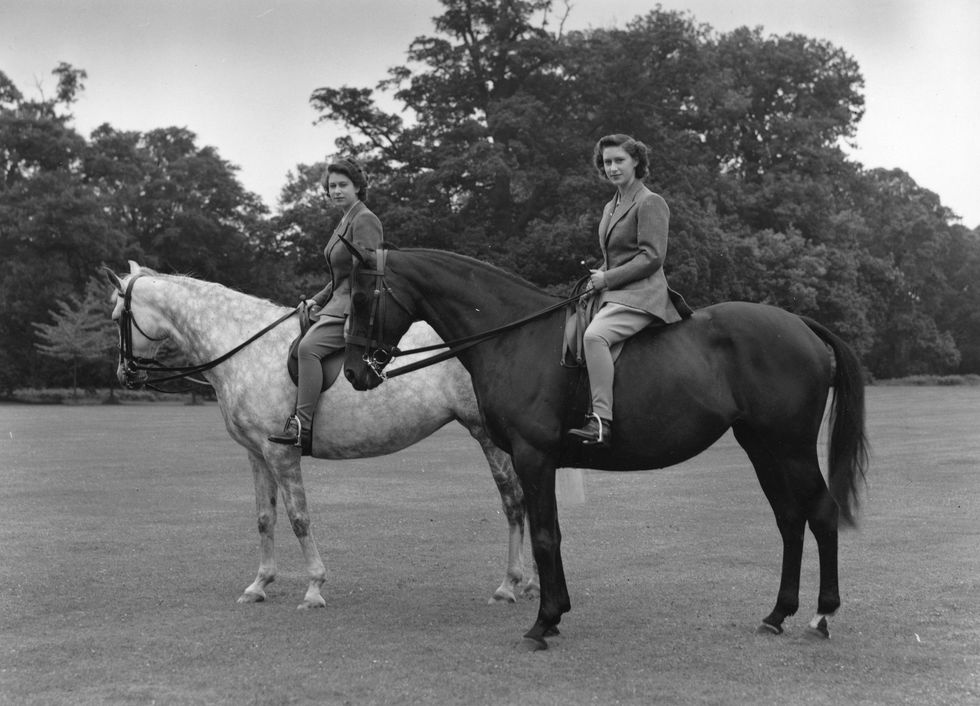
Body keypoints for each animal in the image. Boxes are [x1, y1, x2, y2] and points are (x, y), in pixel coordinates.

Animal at [340, 245, 868, 648]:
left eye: (362, 296)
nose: (353, 372)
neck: (516, 336)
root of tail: (798, 323)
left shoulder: (533, 456)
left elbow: (545, 536)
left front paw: (542, 623)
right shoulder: (537, 461)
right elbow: (550, 533)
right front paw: (555, 613)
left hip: (791, 448)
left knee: (821, 514)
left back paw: (821, 617)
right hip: (763, 448)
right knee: (790, 519)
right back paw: (777, 615)